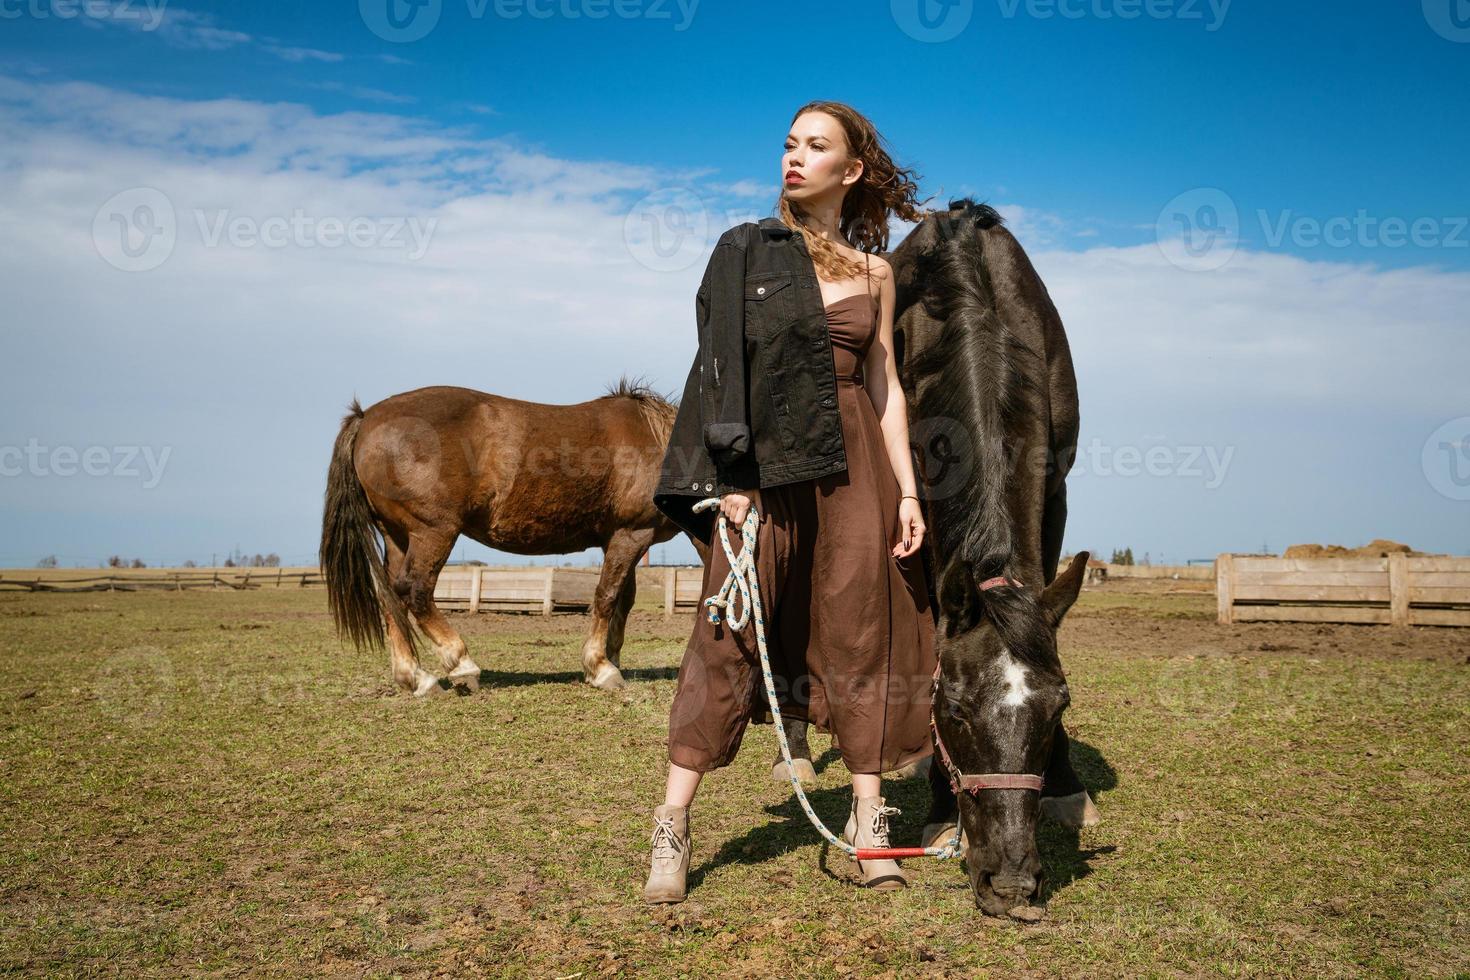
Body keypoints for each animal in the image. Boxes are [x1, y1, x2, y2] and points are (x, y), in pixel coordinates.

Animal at [318, 379, 696, 693]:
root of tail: (366, 418)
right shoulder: (631, 535)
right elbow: (607, 596)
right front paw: (601, 668)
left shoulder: (619, 540)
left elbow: (623, 601)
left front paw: (610, 659)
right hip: (432, 532)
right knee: (415, 590)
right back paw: (461, 664)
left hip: (398, 535)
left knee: (391, 598)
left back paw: (416, 677)